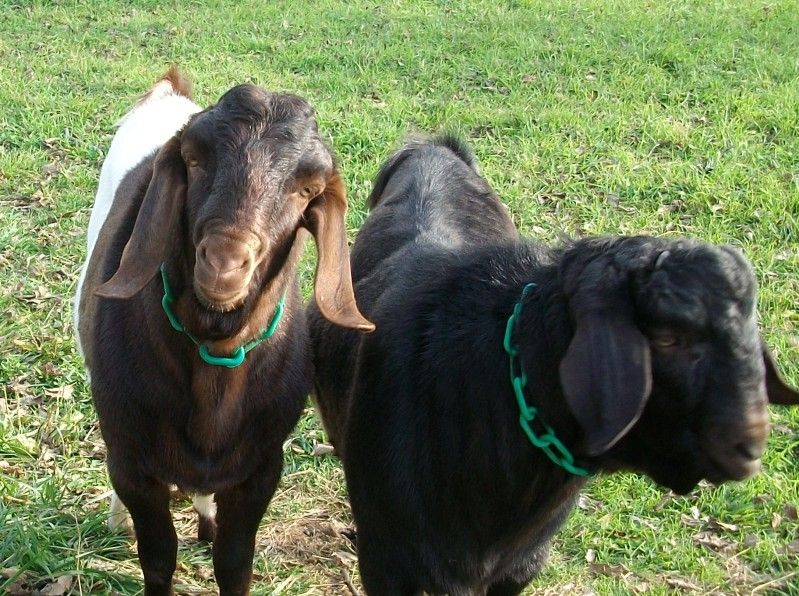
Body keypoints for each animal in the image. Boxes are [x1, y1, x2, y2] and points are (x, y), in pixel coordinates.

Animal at [74, 68, 373, 596]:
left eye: (307, 189)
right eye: (193, 160)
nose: (225, 263)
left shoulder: (260, 469)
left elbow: (234, 561)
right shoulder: (131, 462)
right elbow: (157, 555)